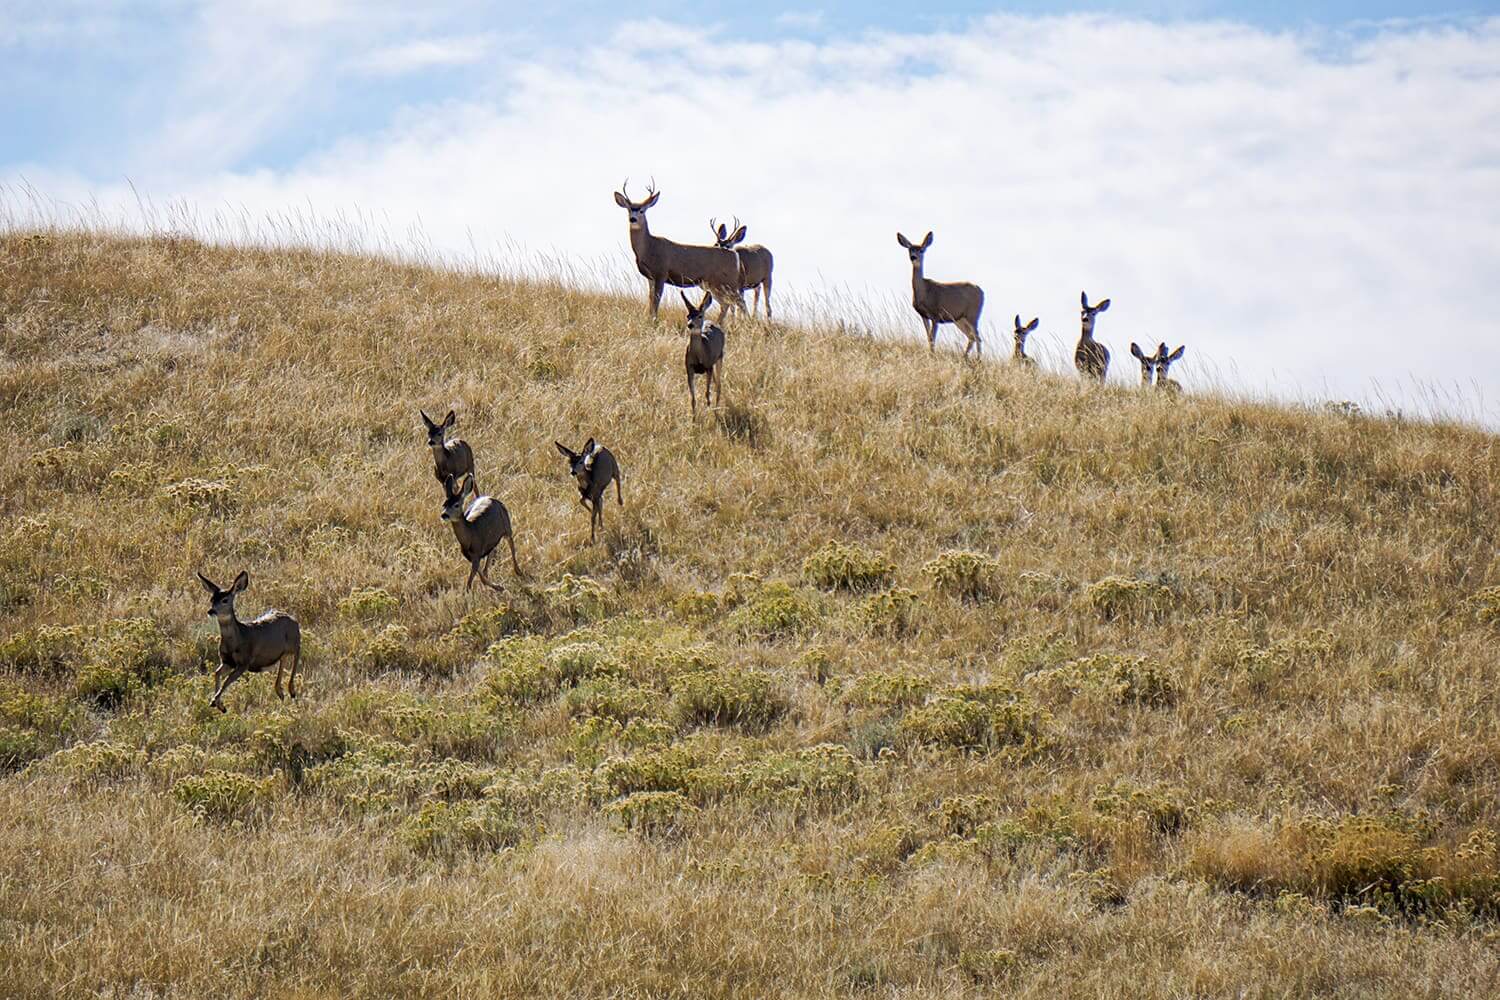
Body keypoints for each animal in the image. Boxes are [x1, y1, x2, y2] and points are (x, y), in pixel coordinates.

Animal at [196, 570, 301, 714]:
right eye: (212, 599)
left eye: (225, 600)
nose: (211, 611)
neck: (237, 639)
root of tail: (294, 620)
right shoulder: (227, 661)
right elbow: (216, 673)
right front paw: (220, 705)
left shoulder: (244, 662)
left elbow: (227, 680)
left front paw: (214, 701)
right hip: (280, 653)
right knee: (281, 668)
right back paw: (282, 694)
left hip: (295, 643)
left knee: (296, 659)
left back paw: (292, 691)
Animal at [613, 180, 745, 322]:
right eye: (629, 209)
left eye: (642, 210)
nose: (633, 219)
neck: (649, 247)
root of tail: (734, 255)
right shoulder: (650, 277)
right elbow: (650, 300)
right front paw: (649, 320)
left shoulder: (661, 273)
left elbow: (656, 301)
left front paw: (654, 321)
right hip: (714, 284)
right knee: (726, 304)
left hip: (727, 282)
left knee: (738, 301)